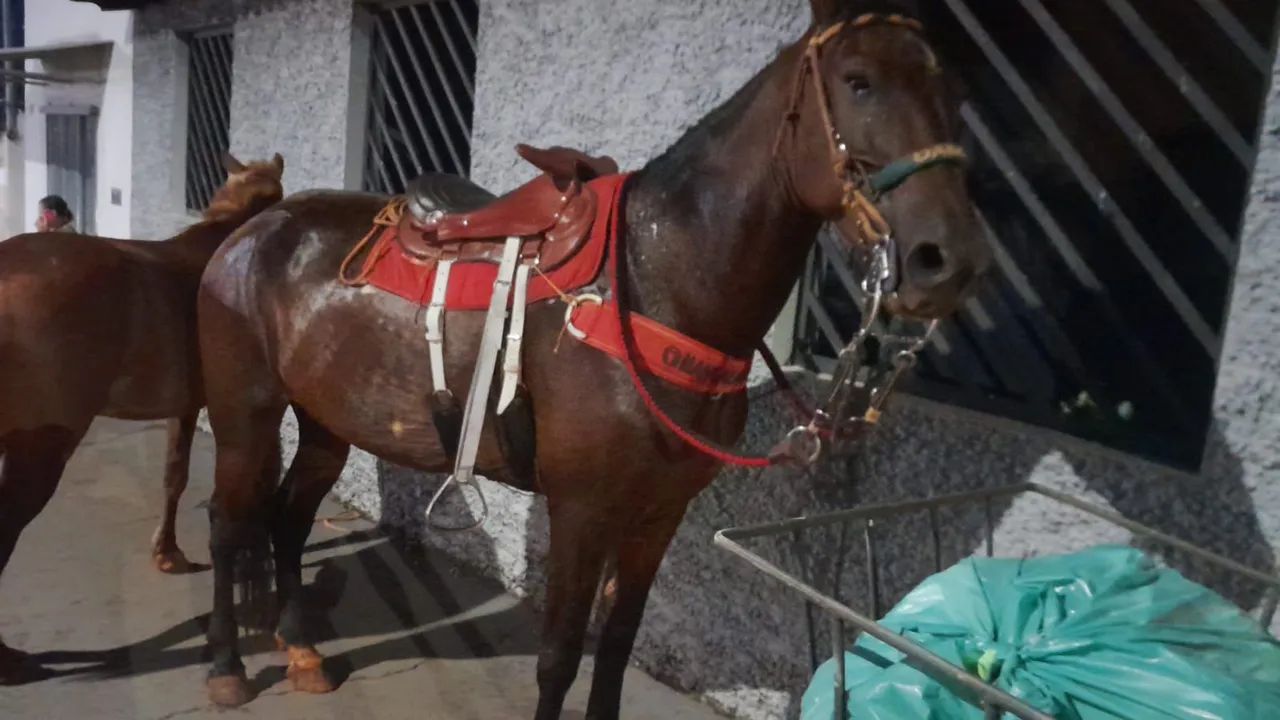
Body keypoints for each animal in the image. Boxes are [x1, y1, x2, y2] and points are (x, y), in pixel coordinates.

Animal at [195, 0, 989, 715]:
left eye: (955, 91)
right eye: (859, 82)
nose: (946, 260)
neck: (657, 284)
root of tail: (252, 231)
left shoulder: (658, 514)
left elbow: (616, 644)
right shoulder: (580, 510)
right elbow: (559, 657)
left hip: (328, 422)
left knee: (288, 518)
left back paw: (302, 652)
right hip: (245, 418)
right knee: (229, 524)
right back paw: (227, 669)